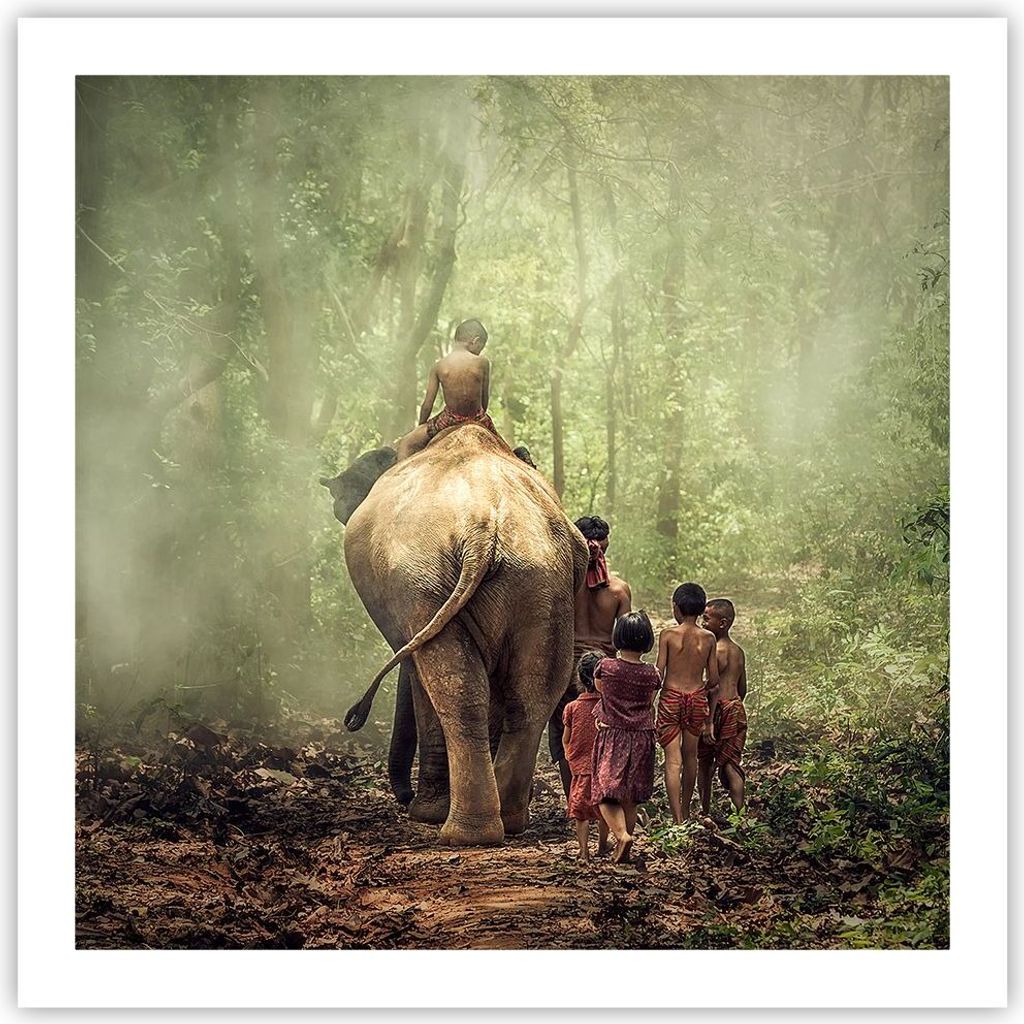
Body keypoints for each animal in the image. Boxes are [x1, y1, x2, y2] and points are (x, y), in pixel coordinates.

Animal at [320, 425, 589, 846]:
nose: (403, 796)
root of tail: (482, 528)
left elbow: (419, 677)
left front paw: (424, 811)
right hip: (541, 581)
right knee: (531, 695)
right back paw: (508, 819)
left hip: (423, 584)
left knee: (455, 688)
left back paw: (460, 830)